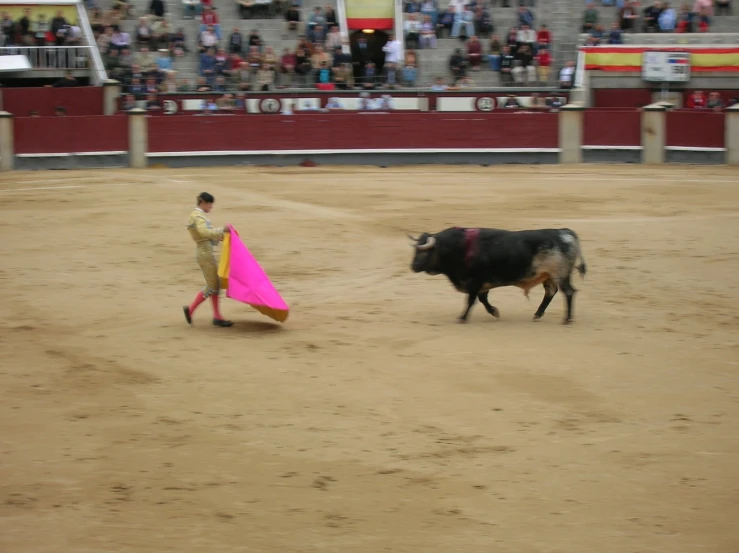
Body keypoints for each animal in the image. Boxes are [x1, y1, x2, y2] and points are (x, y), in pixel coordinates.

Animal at [408, 226, 588, 324]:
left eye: (423, 252)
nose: (413, 267)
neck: (456, 247)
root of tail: (565, 232)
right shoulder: (482, 284)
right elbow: (483, 299)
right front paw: (494, 311)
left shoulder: (474, 282)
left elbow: (471, 300)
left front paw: (462, 317)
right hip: (548, 276)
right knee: (551, 292)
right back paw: (537, 314)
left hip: (560, 275)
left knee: (568, 292)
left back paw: (567, 320)